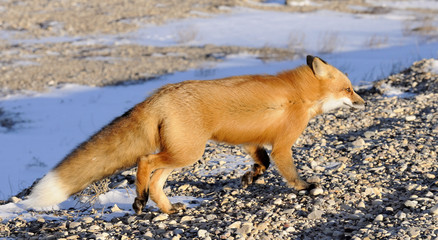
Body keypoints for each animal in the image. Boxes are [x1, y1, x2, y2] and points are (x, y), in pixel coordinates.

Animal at [24, 55, 366, 214]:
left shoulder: (251, 141)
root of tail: (158, 95)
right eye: (349, 89)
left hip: (181, 155)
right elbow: (287, 170)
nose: (365, 102)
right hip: (188, 152)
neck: (300, 94)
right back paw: (139, 199)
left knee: (157, 181)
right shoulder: (283, 144)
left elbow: (262, 163)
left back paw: (167, 208)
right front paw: (306, 187)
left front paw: (249, 178)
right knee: (145, 162)